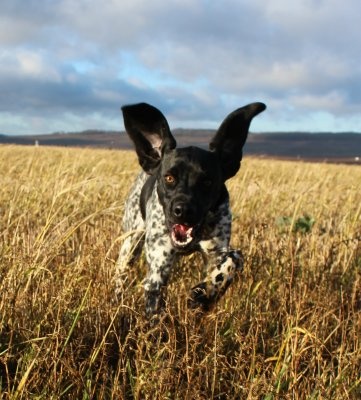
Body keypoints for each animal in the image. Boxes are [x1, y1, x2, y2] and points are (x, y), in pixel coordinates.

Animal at [115, 101, 264, 318]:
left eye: (207, 181)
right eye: (169, 178)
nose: (183, 210)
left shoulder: (216, 253)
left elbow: (235, 259)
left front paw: (207, 292)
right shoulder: (158, 271)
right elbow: (154, 308)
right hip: (131, 244)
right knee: (121, 273)